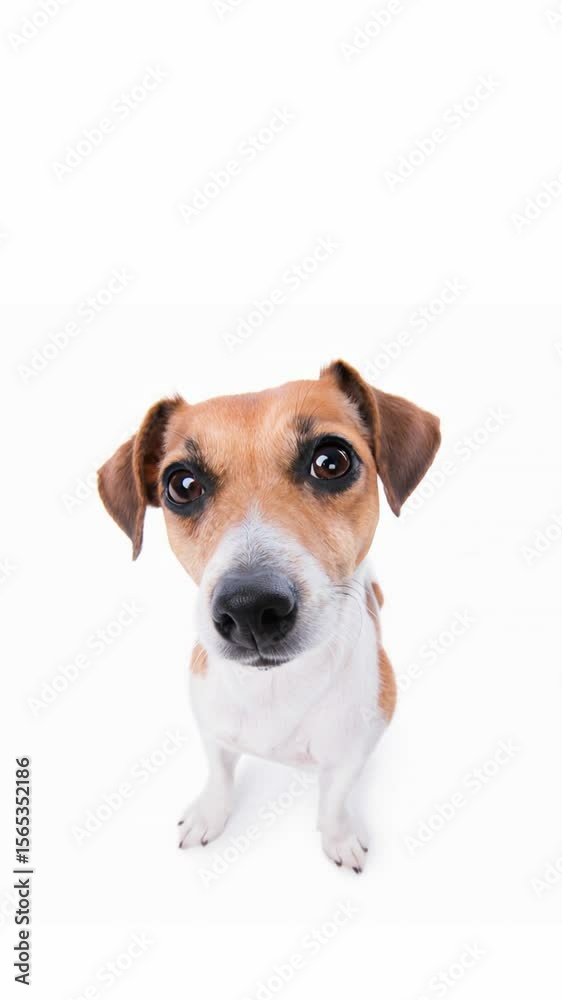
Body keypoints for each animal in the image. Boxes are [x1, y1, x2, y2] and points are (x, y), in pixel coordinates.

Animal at [98, 360, 440, 872]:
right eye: (181, 484)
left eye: (332, 460)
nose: (250, 607)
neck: (276, 687)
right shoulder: (212, 728)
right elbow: (219, 774)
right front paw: (209, 815)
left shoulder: (353, 748)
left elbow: (335, 798)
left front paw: (339, 836)